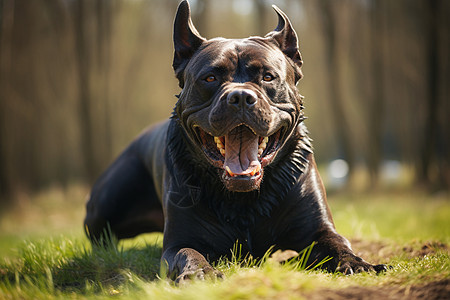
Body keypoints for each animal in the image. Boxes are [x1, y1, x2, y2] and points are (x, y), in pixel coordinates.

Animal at [82, 0, 384, 282]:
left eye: (268, 77)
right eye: (210, 77)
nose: (239, 97)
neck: (244, 199)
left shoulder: (318, 229)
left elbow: (338, 245)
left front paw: (358, 263)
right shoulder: (180, 241)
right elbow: (187, 253)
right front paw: (199, 273)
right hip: (109, 200)